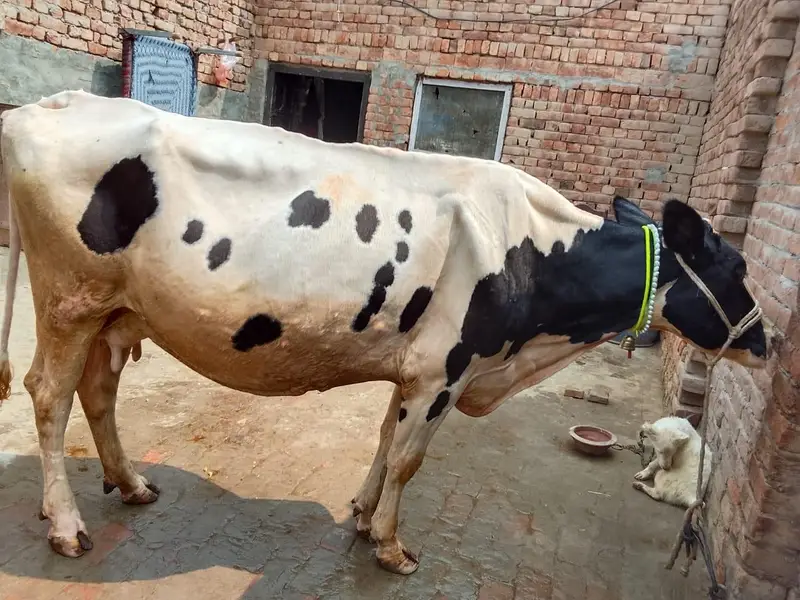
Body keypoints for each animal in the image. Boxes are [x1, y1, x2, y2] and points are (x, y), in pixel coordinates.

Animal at [0, 90, 767, 575]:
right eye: (737, 267)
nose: (767, 344)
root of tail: (51, 103)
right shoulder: (446, 370)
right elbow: (407, 459)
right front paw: (393, 549)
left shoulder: (416, 369)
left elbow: (382, 441)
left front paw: (364, 516)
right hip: (68, 299)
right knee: (48, 396)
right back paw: (66, 526)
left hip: (112, 311)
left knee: (98, 394)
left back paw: (130, 485)